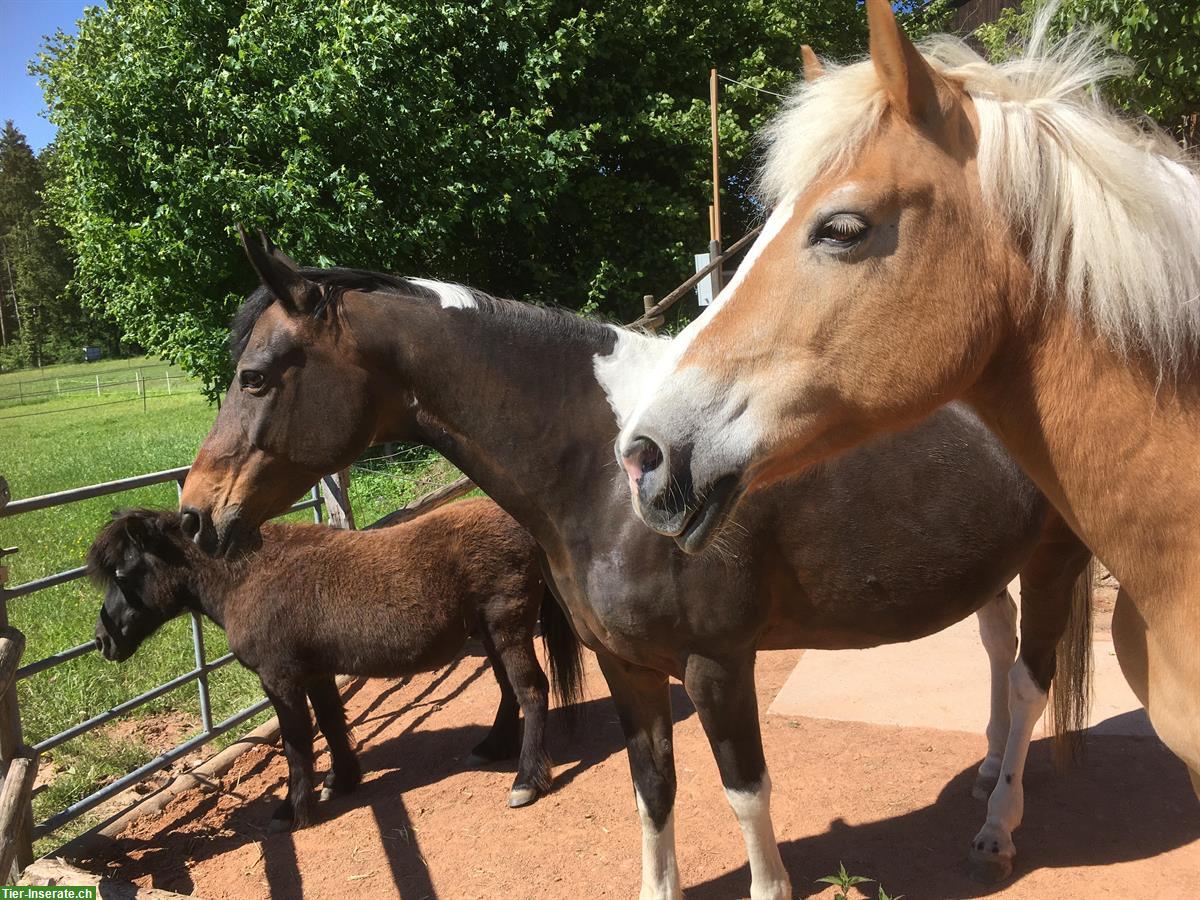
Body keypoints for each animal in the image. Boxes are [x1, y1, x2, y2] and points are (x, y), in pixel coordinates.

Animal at [88, 501, 580, 830]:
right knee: (509, 692)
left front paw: (293, 810)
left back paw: (526, 780)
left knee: (532, 691)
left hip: (508, 627)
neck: (246, 577)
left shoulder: (281, 680)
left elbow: (297, 743)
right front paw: (342, 781)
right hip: (490, 634)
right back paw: (493, 747)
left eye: (122, 575)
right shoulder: (318, 673)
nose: (102, 640)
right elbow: (330, 724)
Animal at [180, 230, 1099, 897]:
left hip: (1056, 557)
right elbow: (651, 788)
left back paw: (998, 826)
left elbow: (744, 791)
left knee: (1031, 679)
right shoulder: (626, 666)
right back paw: (987, 770)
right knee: (999, 652)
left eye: (255, 376)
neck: (608, 464)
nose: (194, 513)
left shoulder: (718, 665)